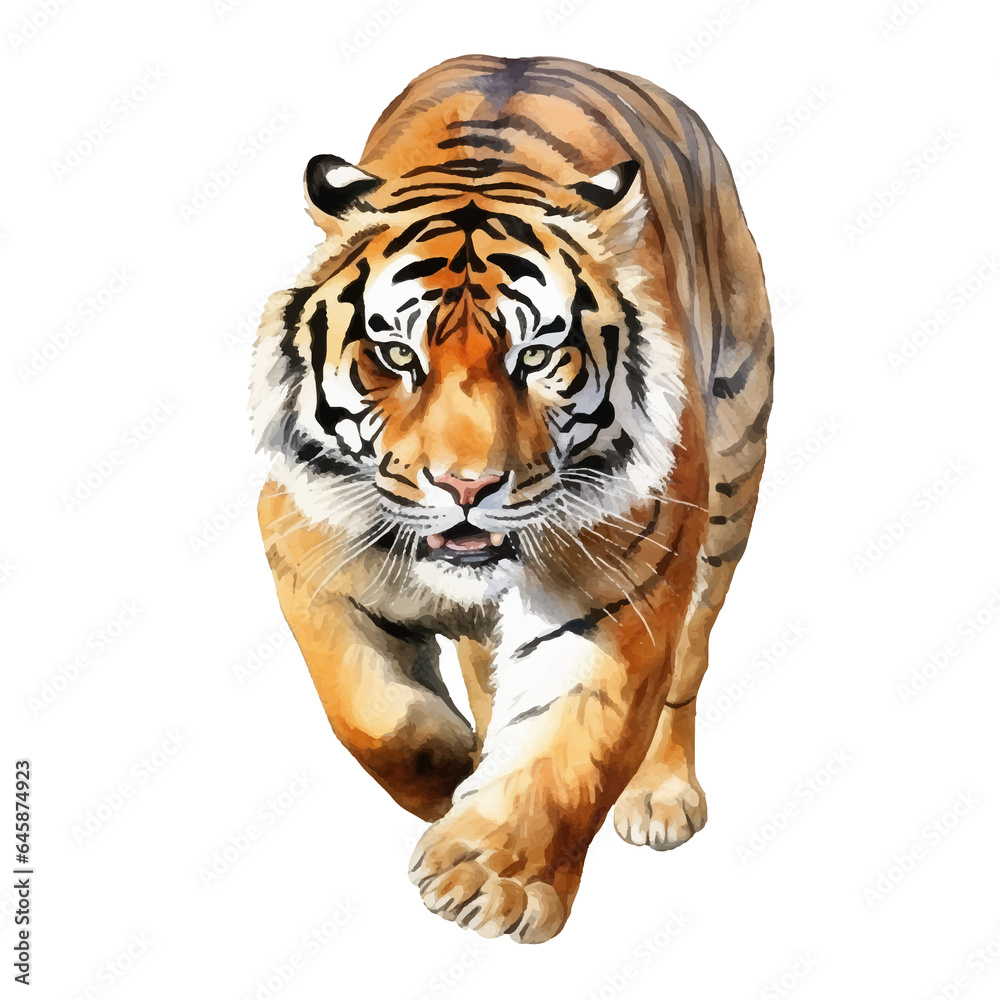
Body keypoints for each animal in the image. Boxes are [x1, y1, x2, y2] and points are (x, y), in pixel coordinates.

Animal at [250, 54, 773, 943]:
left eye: (535, 355)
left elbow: (575, 739)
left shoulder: (623, 581)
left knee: (688, 664)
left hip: (732, 479)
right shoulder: (304, 541)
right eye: (397, 354)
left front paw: (493, 880)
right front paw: (457, 781)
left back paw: (661, 795)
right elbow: (373, 713)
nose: (468, 487)